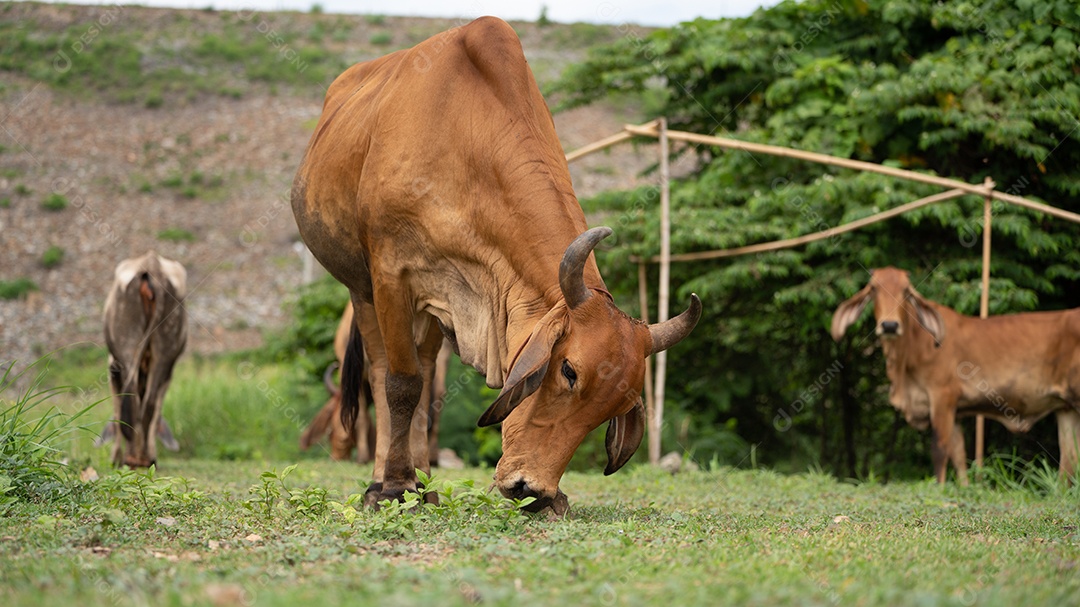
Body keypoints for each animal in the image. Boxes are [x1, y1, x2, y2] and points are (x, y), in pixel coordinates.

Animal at [101, 251, 187, 467]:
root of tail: (152, 264)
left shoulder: (113, 369)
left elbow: (117, 407)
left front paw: (115, 456)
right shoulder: (168, 374)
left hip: (127, 345)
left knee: (131, 401)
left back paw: (131, 457)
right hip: (166, 350)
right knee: (149, 402)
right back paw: (145, 458)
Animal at [291, 16, 700, 514]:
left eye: (613, 409)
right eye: (568, 371)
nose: (532, 489)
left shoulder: (441, 296)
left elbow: (424, 391)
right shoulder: (390, 275)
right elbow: (401, 385)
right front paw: (392, 487)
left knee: (425, 381)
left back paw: (424, 483)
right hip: (362, 287)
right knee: (383, 372)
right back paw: (387, 480)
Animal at [831, 267, 1080, 485]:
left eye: (906, 291)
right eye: (873, 289)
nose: (890, 325)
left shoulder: (942, 397)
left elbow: (940, 450)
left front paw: (940, 487)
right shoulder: (956, 411)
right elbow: (958, 454)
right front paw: (964, 487)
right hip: (1065, 408)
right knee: (1069, 460)